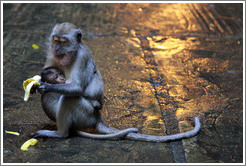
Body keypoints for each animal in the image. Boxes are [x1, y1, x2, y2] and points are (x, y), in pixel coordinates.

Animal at [36, 21, 202, 142]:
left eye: (64, 42)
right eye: (55, 40)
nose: (57, 49)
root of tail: (96, 119)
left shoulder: (81, 56)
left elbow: (76, 88)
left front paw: (47, 86)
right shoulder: (51, 54)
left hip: (85, 114)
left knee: (69, 98)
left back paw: (60, 134)